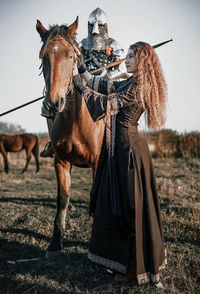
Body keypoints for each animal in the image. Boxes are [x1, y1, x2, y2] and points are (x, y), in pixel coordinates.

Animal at [36, 16, 104, 258]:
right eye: (43, 56)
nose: (53, 102)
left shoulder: (97, 163)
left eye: (70, 56)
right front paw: (55, 243)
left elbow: (96, 197)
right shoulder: (62, 162)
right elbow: (62, 199)